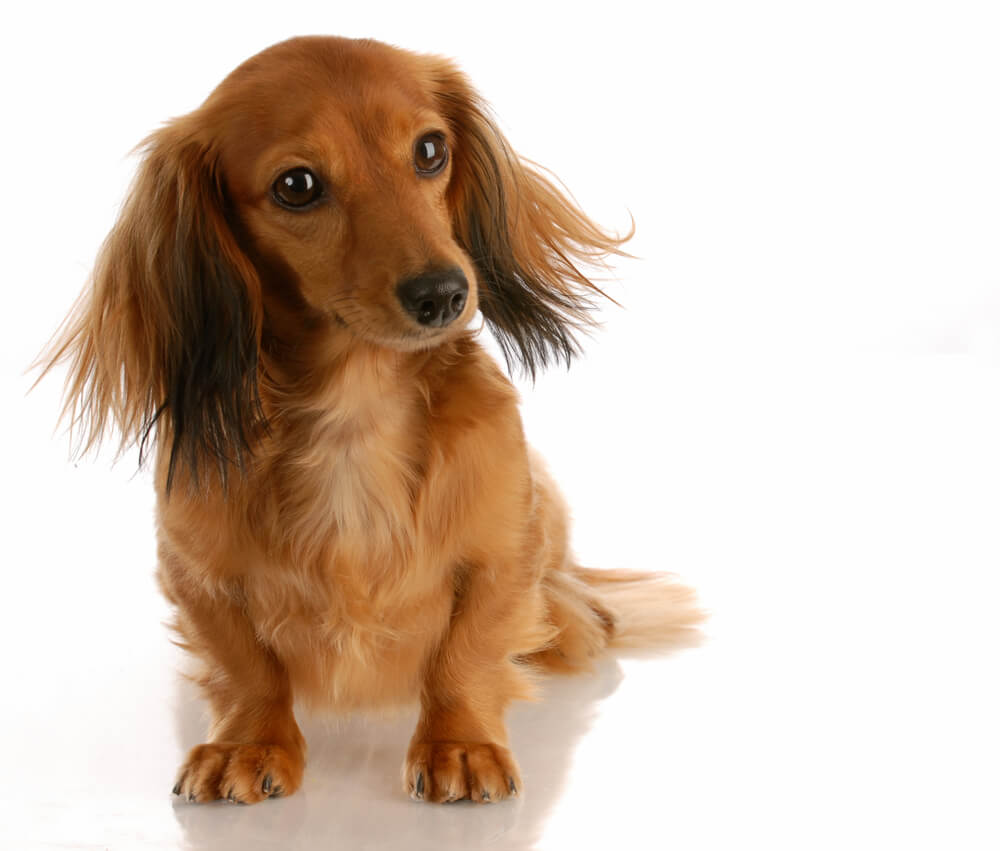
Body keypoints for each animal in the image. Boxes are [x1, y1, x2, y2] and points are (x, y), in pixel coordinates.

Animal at [41, 35, 704, 804]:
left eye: (429, 150)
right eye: (297, 185)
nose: (443, 293)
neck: (354, 414)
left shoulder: (504, 546)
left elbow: (469, 649)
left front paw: (460, 744)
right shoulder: (193, 568)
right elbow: (244, 663)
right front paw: (246, 742)